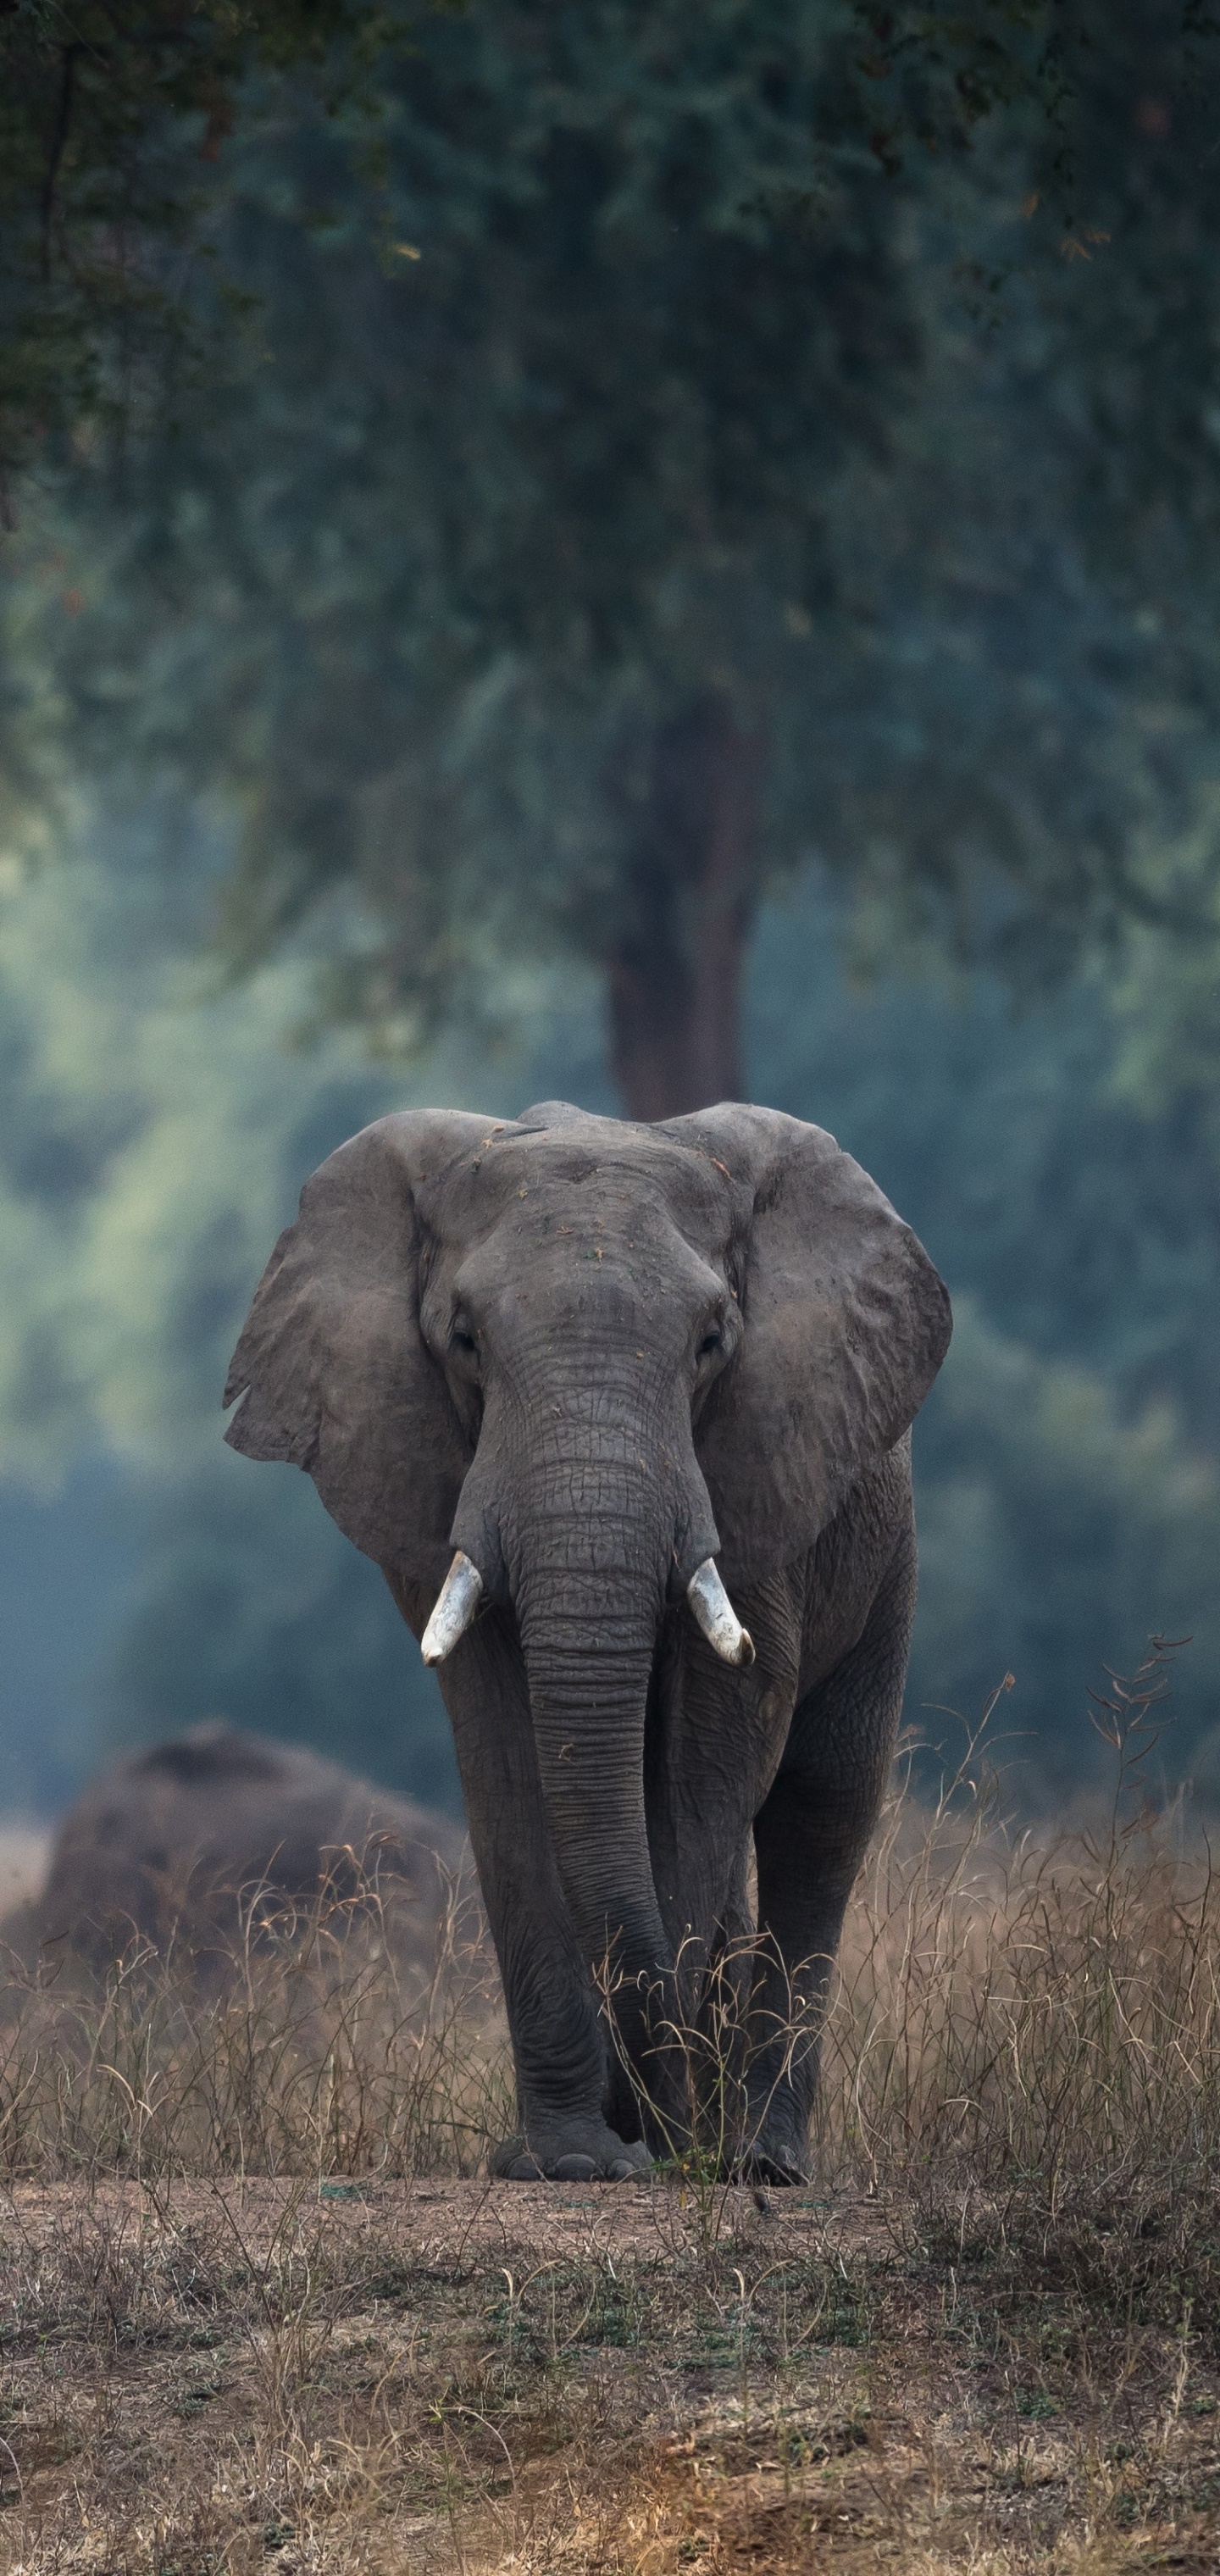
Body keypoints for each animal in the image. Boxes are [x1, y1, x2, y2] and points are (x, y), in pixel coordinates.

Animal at [224, 1100, 951, 2182]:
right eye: (465, 1339)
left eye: (712, 1341)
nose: (645, 2129)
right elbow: (505, 1759)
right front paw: (570, 2160)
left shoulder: (761, 1464)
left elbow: (705, 1763)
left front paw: (661, 2136)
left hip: (884, 1543)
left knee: (821, 1806)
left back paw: (757, 2158)